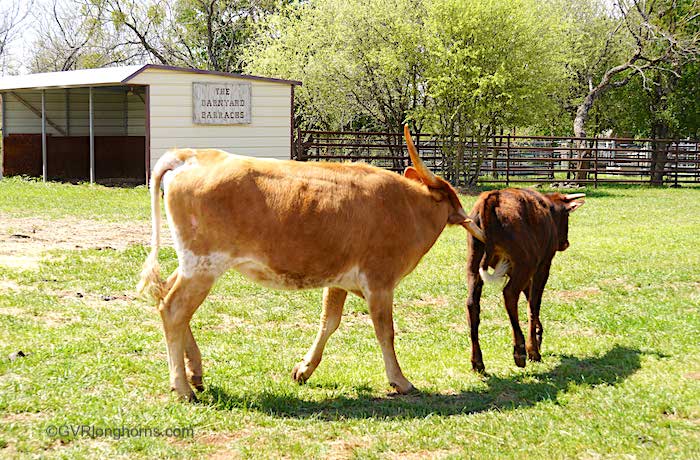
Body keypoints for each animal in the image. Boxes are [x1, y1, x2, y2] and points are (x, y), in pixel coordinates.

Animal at [460, 189, 584, 372]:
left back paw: (477, 362)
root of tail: (493, 197)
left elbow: (529, 297)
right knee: (510, 294)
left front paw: (539, 335)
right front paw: (534, 348)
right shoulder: (543, 265)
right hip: (525, 263)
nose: (565, 243)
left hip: (474, 263)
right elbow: (533, 303)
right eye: (566, 216)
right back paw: (520, 351)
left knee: (472, 304)